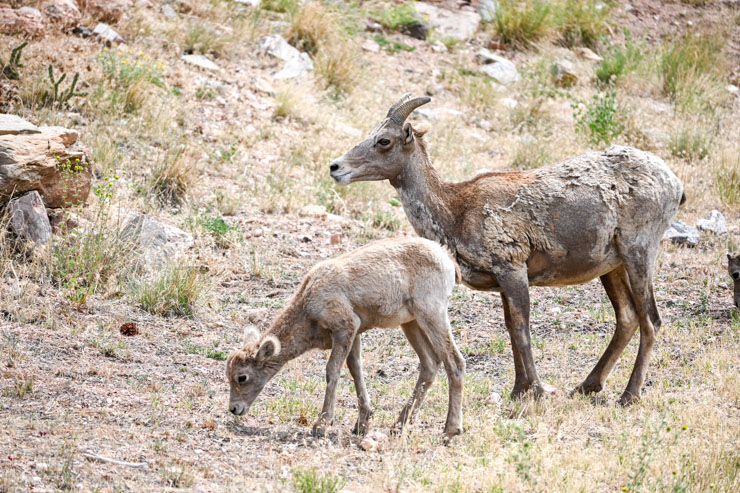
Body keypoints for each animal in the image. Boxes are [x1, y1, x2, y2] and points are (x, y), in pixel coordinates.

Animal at [228, 236, 466, 436]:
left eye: (242, 377)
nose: (234, 408)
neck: (307, 307)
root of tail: (446, 259)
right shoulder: (353, 334)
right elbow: (356, 371)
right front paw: (361, 424)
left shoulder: (344, 328)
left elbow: (332, 371)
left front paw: (321, 425)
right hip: (411, 323)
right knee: (430, 364)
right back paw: (398, 426)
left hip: (431, 313)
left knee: (455, 362)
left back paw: (450, 430)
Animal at [332, 94, 684, 406]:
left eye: (384, 141)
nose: (336, 167)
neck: (455, 212)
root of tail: (675, 184)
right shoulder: (502, 281)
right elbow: (511, 328)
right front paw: (518, 391)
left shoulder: (512, 269)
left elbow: (521, 327)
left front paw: (538, 391)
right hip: (612, 267)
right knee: (627, 318)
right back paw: (586, 387)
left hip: (639, 252)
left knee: (651, 320)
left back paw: (628, 396)